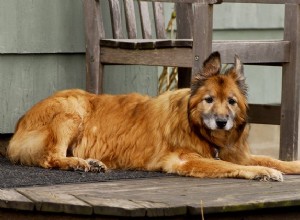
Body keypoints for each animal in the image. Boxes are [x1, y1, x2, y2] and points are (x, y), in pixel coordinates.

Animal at [6, 51, 300, 180]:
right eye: (209, 100)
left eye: (231, 102)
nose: (221, 121)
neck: (197, 128)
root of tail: (21, 121)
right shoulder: (186, 159)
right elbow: (233, 166)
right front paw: (262, 172)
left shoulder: (237, 152)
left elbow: (271, 158)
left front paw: (291, 165)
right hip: (72, 112)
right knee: (51, 157)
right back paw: (78, 164)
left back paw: (91, 162)